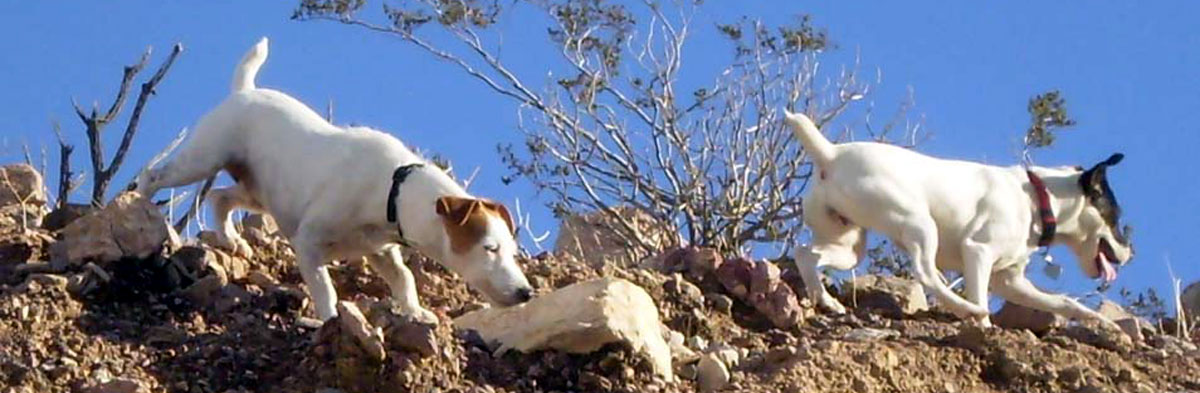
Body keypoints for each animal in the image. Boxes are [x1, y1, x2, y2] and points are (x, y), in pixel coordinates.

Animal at [133, 38, 532, 323]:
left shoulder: (382, 252)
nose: (527, 293)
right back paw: (146, 215)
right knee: (152, 176)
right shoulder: (308, 243)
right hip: (203, 158)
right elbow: (326, 290)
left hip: (257, 192)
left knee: (219, 197)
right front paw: (329, 320)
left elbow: (404, 279)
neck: (392, 189)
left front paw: (415, 312)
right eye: (489, 248)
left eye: (511, 251)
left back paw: (232, 240)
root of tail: (244, 90)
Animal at [787, 109, 1132, 325]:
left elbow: (1064, 302)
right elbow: (981, 295)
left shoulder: (1010, 281)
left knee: (805, 255)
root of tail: (830, 154)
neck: (1037, 198)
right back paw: (967, 309)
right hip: (919, 225)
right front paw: (983, 327)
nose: (1131, 251)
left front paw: (1103, 323)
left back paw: (825, 300)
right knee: (926, 274)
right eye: (1115, 217)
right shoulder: (978, 252)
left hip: (847, 245)